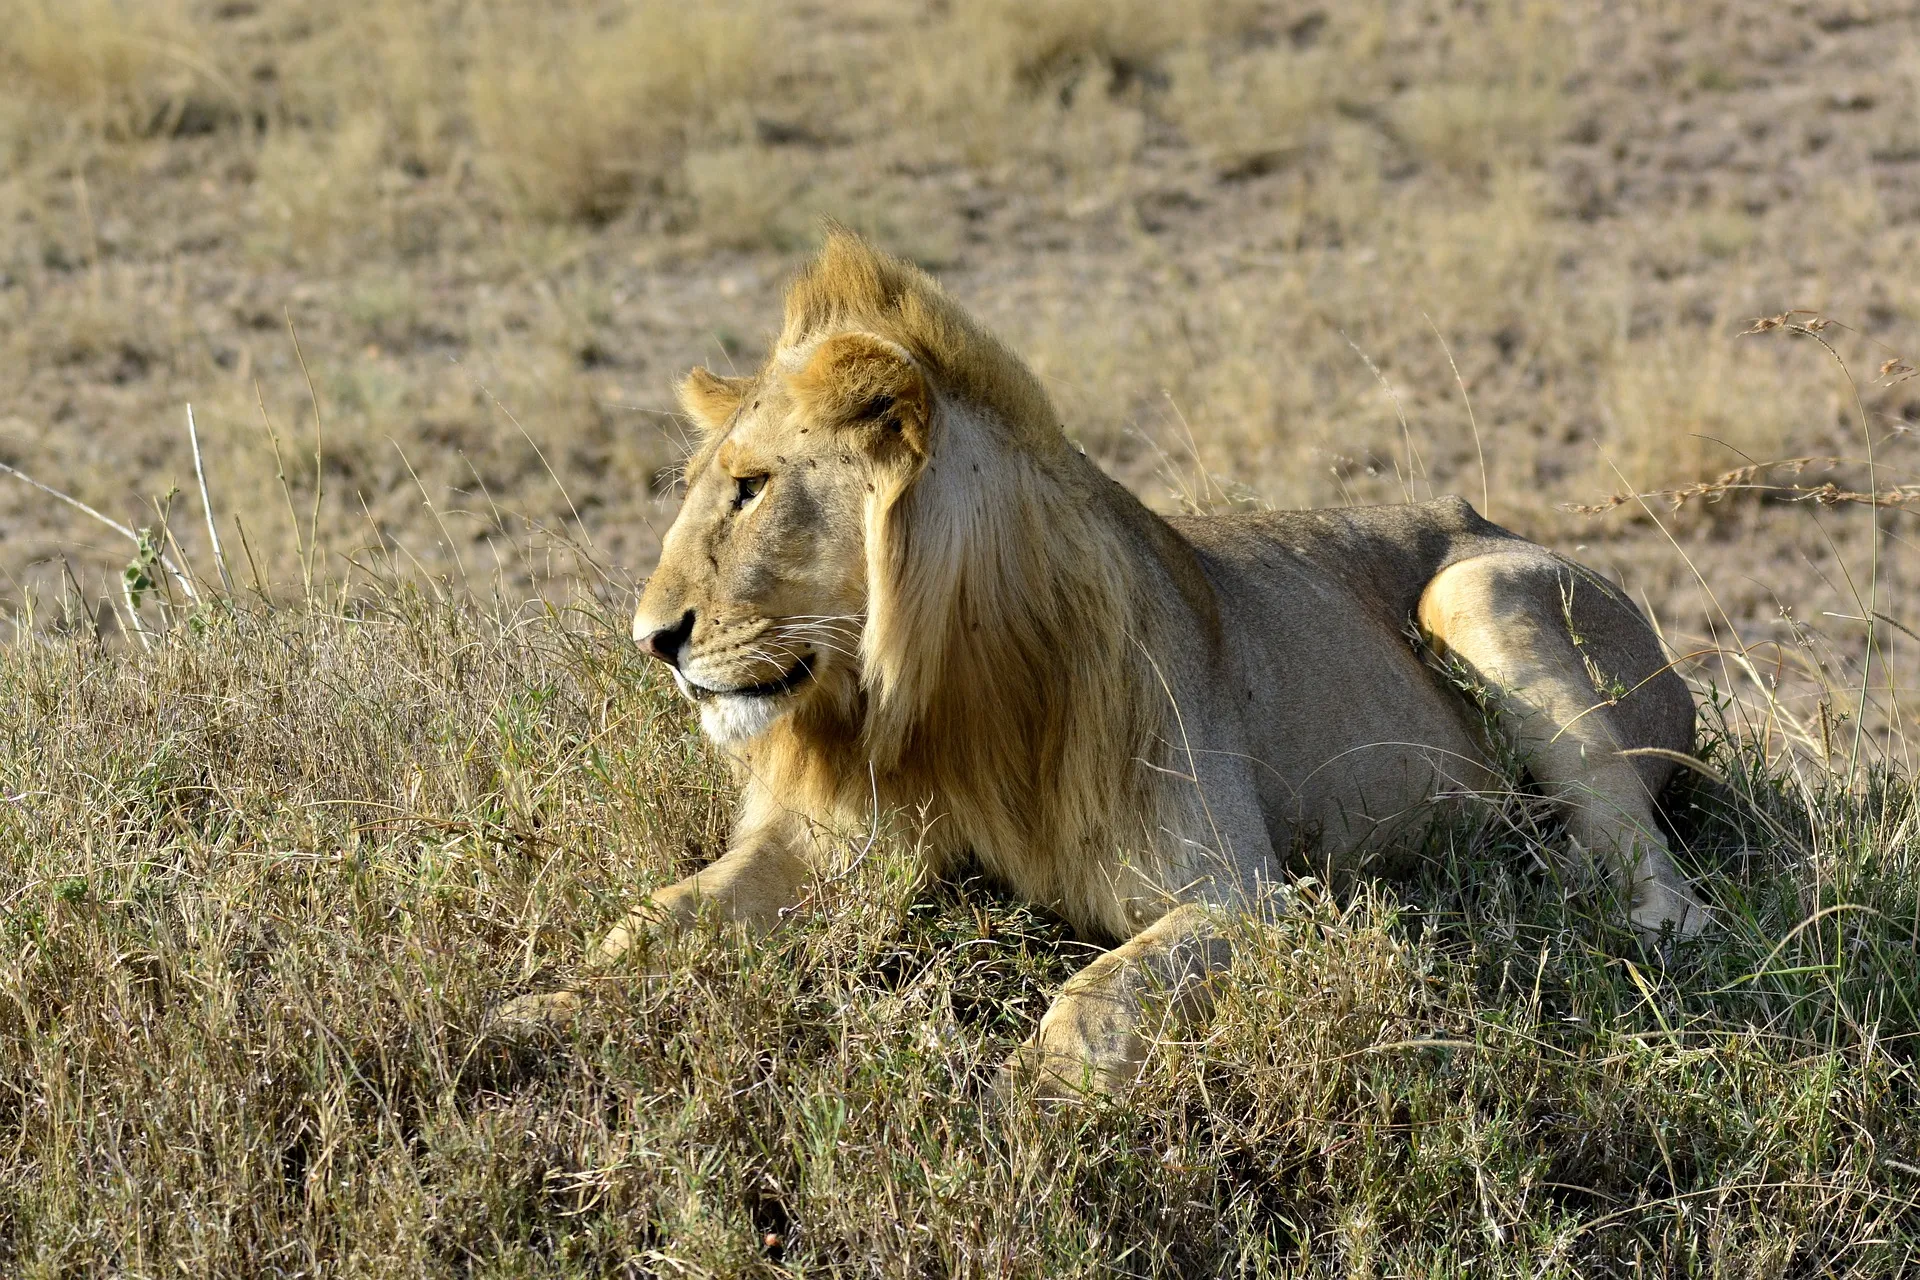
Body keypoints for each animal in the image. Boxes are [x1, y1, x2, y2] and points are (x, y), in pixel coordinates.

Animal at [522, 233, 1697, 1105]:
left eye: (753, 485)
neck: (939, 690)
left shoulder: (1245, 893)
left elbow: (1092, 1000)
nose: (652, 637)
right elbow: (653, 918)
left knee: (1655, 872)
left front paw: (1021, 1111)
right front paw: (539, 1011)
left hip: (1480, 589)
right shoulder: (833, 842)